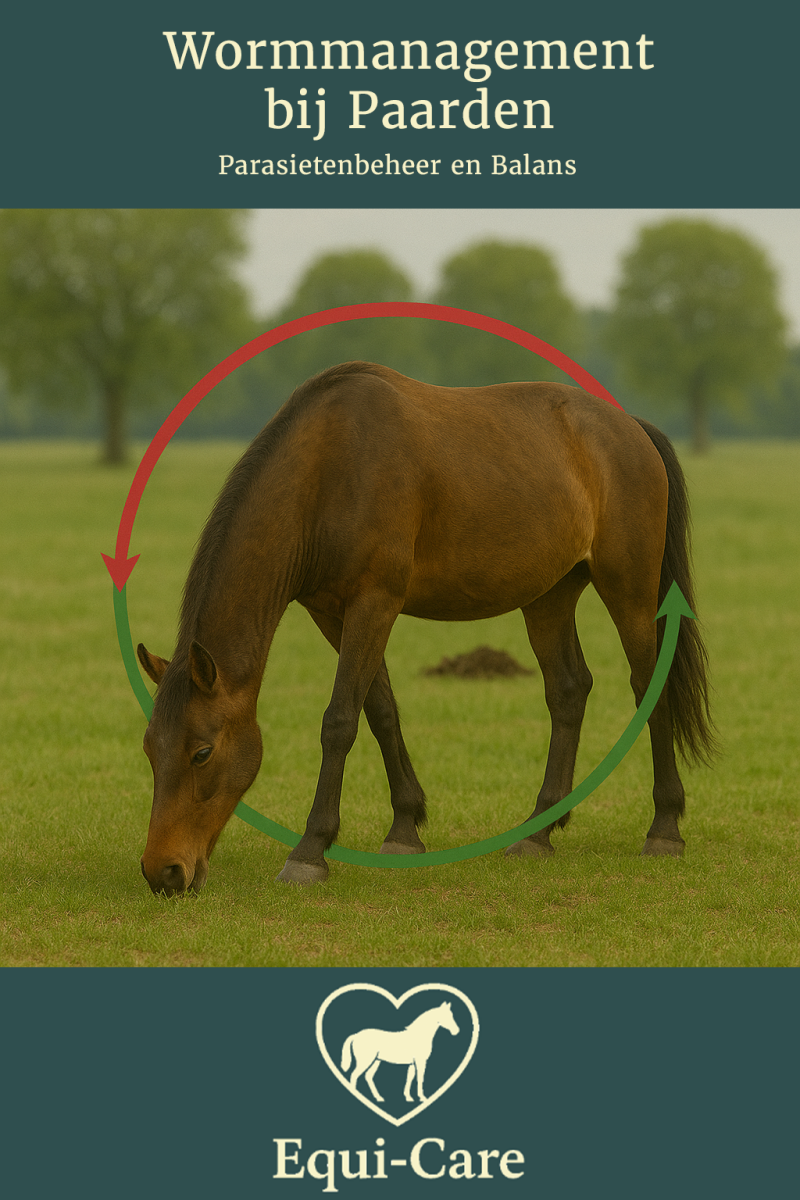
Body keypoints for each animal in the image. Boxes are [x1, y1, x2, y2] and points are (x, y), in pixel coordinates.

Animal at [136, 361, 714, 895]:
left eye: (202, 752)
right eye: (149, 748)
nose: (163, 871)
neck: (327, 469)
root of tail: (630, 427)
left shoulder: (375, 602)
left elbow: (340, 720)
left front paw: (310, 850)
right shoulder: (332, 612)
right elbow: (380, 711)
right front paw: (404, 827)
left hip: (629, 589)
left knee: (649, 685)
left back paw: (664, 827)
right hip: (549, 597)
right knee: (568, 690)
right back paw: (538, 830)